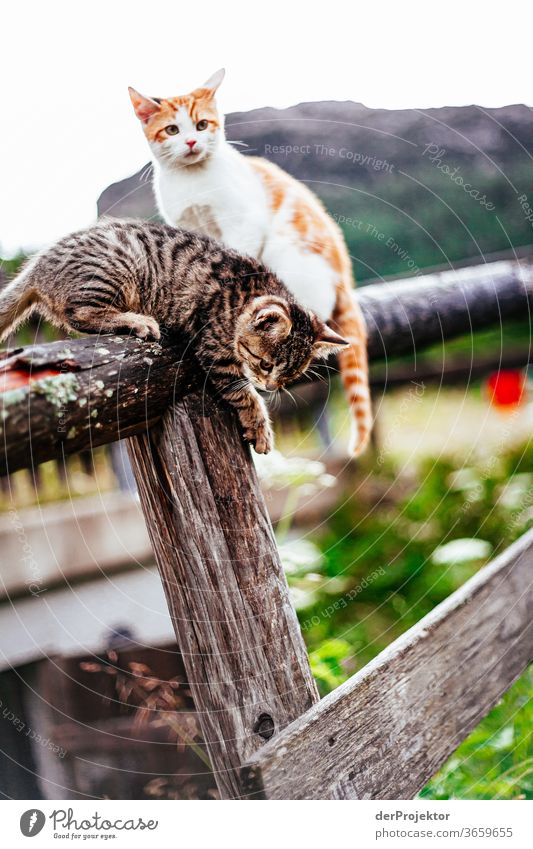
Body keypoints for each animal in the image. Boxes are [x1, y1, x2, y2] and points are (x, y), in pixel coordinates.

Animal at [0, 222, 348, 454]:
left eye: (289, 376)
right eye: (265, 364)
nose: (272, 386)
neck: (246, 294)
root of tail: (38, 265)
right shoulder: (214, 350)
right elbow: (243, 394)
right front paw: (259, 425)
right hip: (114, 269)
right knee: (81, 313)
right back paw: (138, 321)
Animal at [128, 71, 370, 458]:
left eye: (202, 124)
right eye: (172, 130)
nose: (192, 141)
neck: (193, 183)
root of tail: (344, 278)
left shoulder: (243, 223)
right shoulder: (187, 226)